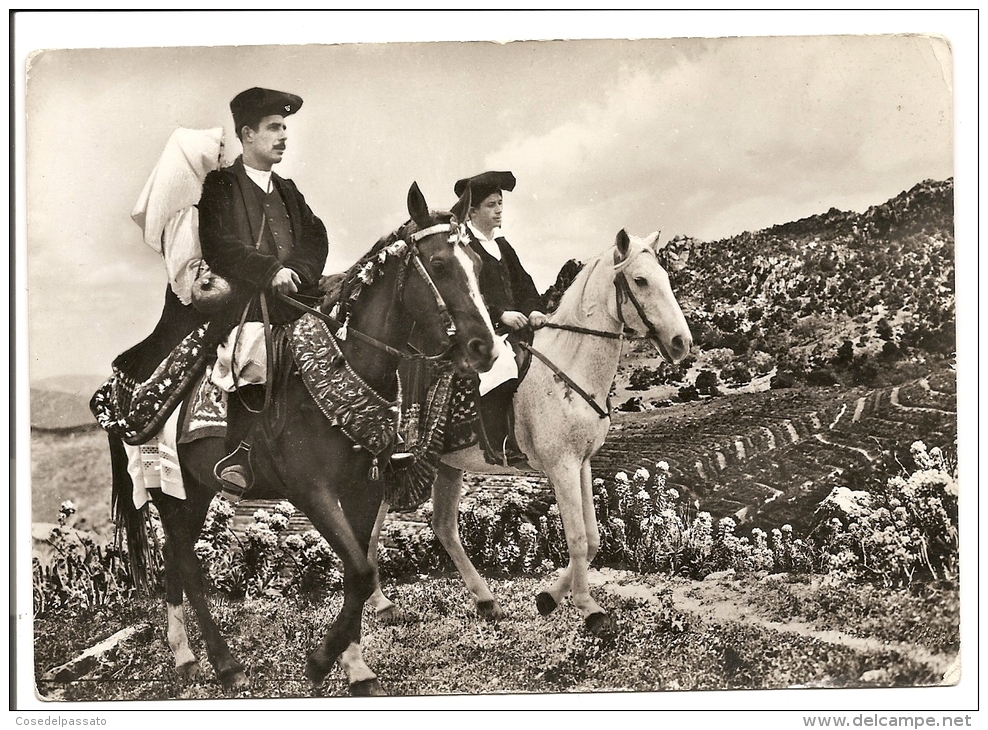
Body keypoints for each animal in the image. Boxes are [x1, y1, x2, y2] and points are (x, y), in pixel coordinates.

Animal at [113, 182, 498, 692]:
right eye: (438, 264)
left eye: (478, 264)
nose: (485, 348)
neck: (344, 367)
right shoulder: (311, 491)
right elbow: (359, 571)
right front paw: (321, 662)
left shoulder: (363, 489)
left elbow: (360, 570)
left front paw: (355, 667)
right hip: (170, 491)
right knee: (187, 568)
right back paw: (225, 664)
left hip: (193, 491)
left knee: (176, 564)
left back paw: (184, 656)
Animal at [366, 229, 692, 632]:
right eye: (641, 280)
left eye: (666, 278)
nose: (682, 343)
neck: (568, 365)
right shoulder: (561, 466)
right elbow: (578, 538)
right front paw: (588, 607)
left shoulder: (581, 463)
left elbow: (593, 538)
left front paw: (549, 597)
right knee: (370, 528)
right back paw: (381, 602)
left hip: (448, 466)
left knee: (443, 526)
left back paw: (486, 601)